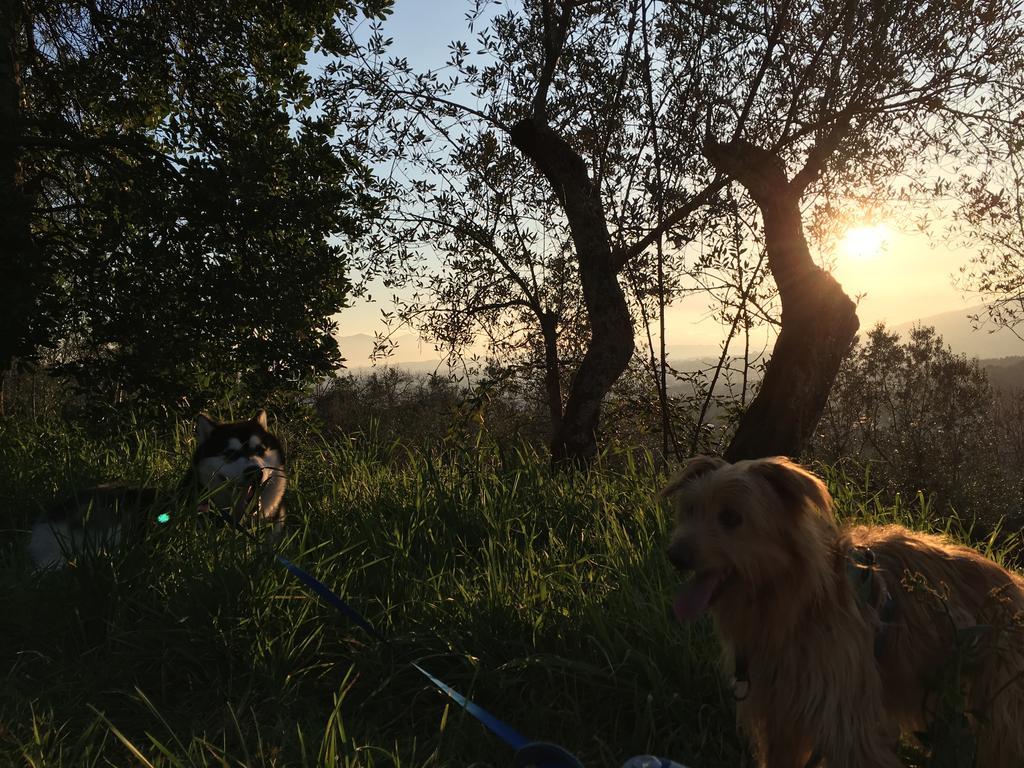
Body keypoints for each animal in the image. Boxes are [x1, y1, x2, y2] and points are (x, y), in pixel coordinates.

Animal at [663, 456, 1024, 768]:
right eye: (690, 510)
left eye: (731, 517)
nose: (674, 556)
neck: (795, 603)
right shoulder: (781, 718)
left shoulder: (848, 723)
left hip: (998, 713)